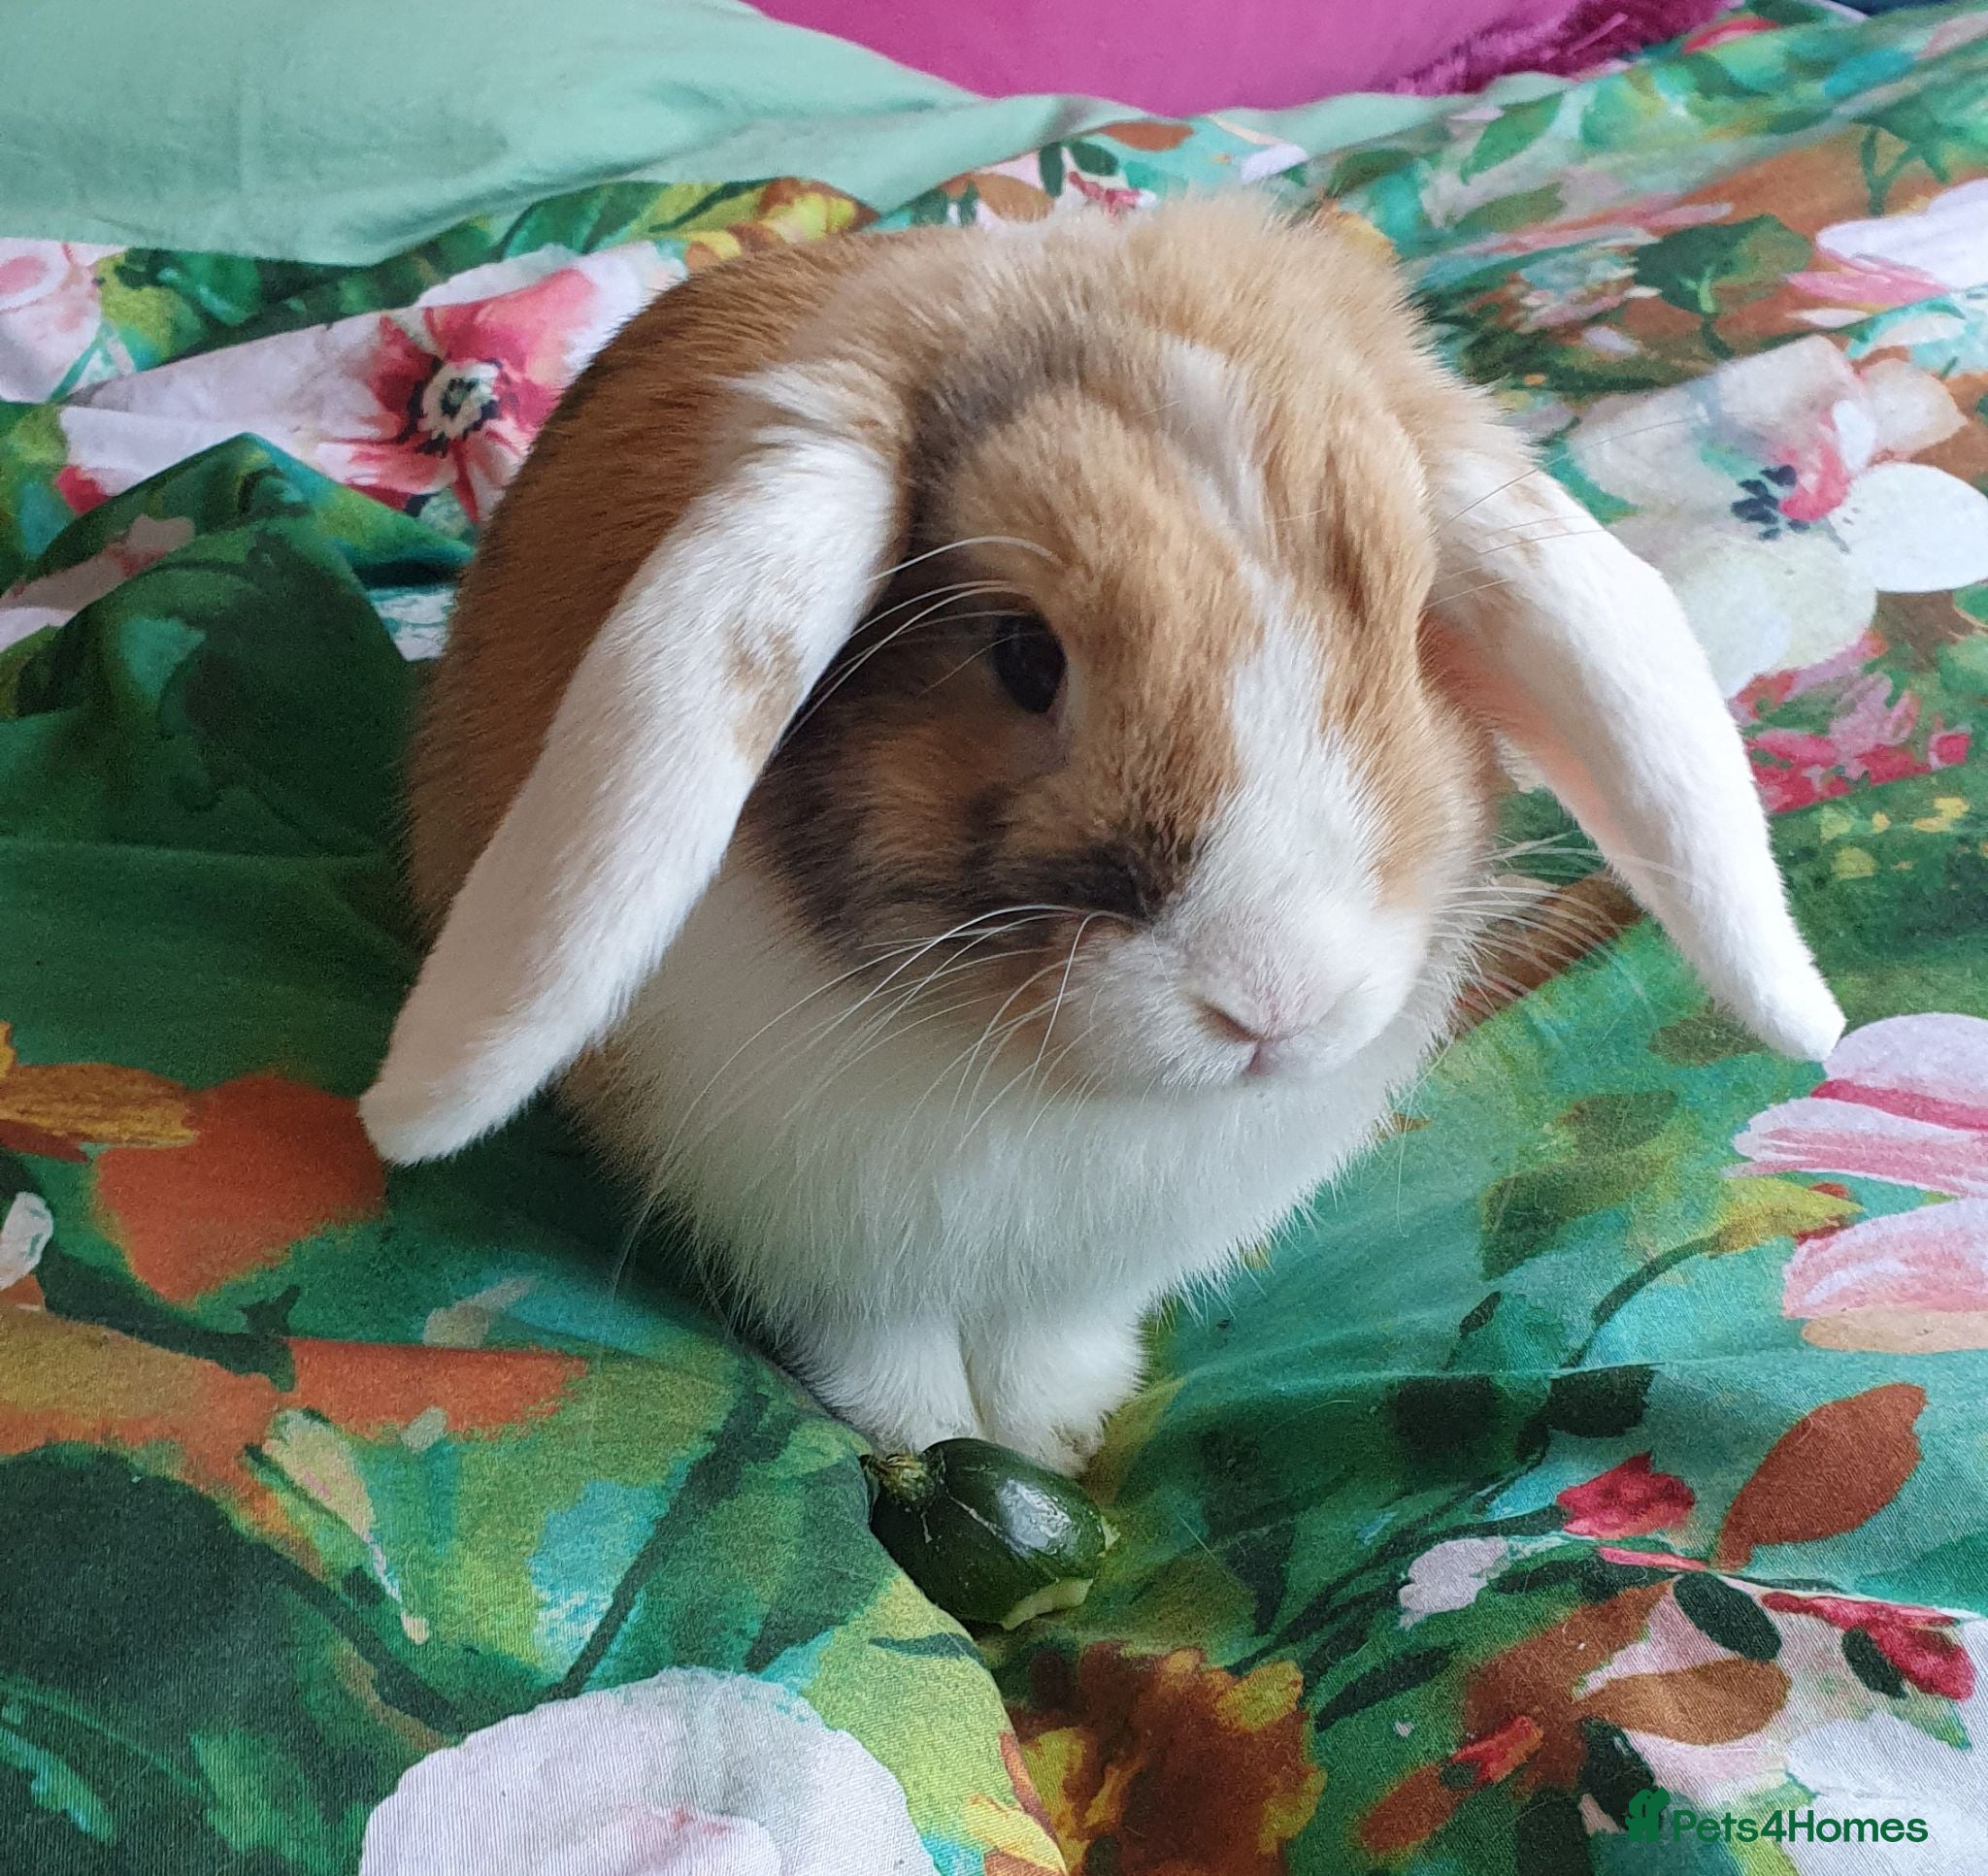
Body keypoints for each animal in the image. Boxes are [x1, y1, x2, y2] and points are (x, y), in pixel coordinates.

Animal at [359, 194, 1843, 1473]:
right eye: (1024, 654)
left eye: (1411, 625)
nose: (1273, 1003)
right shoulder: (813, 1235)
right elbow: (882, 1346)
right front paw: (926, 1436)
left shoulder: (1090, 1267)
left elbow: (1051, 1345)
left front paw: (1052, 1432)